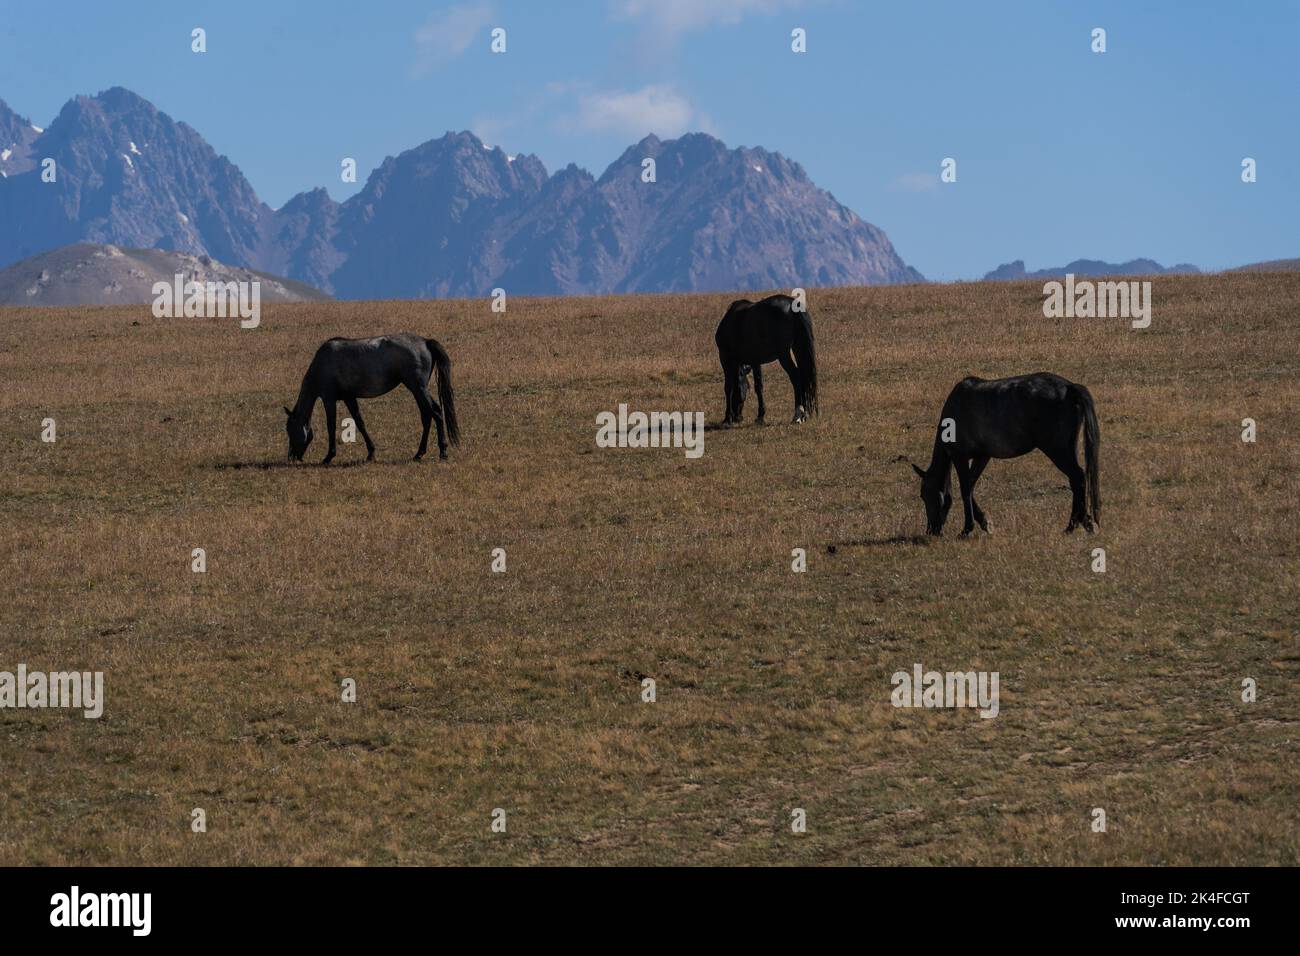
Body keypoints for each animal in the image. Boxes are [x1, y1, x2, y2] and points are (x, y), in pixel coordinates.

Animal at [282, 335, 460, 465]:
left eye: (290, 429)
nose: (291, 457)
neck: (322, 364)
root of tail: (425, 341)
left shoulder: (329, 399)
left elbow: (331, 426)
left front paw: (329, 456)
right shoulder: (349, 398)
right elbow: (360, 422)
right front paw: (371, 453)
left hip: (418, 388)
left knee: (436, 412)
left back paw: (443, 451)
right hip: (417, 390)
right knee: (427, 416)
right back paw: (419, 453)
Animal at [717, 293, 816, 424]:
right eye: (746, 389)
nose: (739, 417)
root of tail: (792, 305)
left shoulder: (725, 357)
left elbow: (728, 387)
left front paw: (727, 418)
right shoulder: (755, 361)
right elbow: (759, 386)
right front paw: (760, 416)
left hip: (783, 355)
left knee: (795, 377)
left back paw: (798, 415)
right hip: (797, 348)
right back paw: (803, 414)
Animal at [909, 374, 1102, 538]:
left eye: (925, 495)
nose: (931, 531)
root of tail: (1070, 387)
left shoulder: (960, 457)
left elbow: (965, 489)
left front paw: (967, 529)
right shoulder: (982, 457)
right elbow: (970, 487)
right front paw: (985, 522)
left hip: (1057, 450)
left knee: (1078, 477)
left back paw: (1075, 525)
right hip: (1068, 448)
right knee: (1076, 480)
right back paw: (1080, 522)